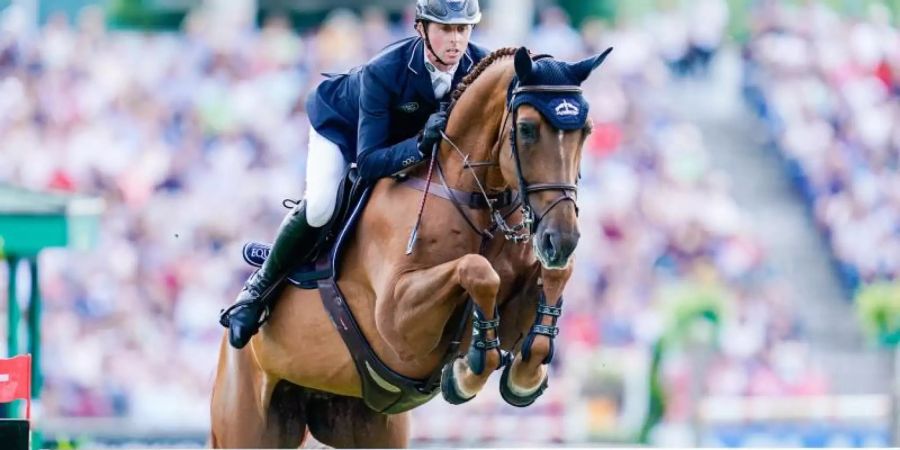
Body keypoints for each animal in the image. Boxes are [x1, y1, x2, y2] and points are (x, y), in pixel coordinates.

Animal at [209, 47, 612, 448]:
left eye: (586, 132)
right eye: (527, 129)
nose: (561, 240)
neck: (471, 196)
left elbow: (554, 276)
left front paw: (524, 378)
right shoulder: (397, 320)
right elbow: (477, 270)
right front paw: (468, 373)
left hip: (366, 423)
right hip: (248, 422)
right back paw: (246, 310)